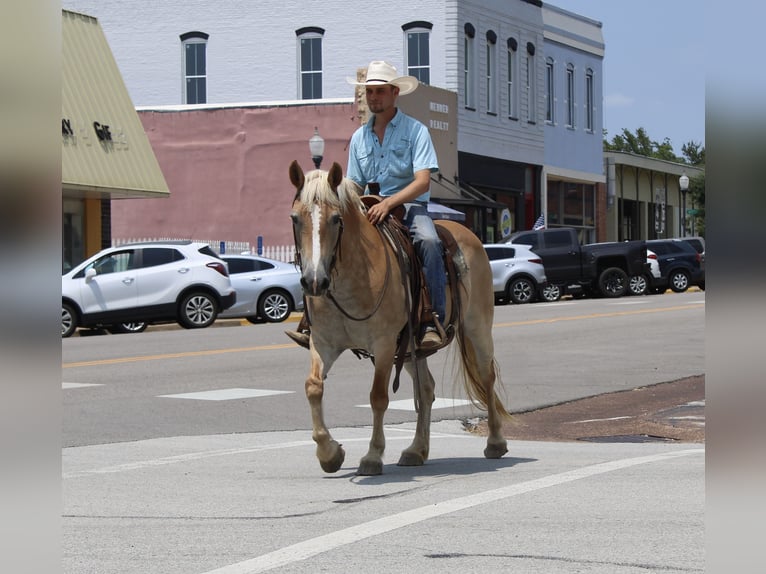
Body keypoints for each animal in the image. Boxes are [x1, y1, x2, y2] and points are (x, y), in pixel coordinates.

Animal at [288, 161, 510, 476]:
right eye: (295, 218)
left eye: (335, 219)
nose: (314, 281)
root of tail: (468, 234)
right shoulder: (323, 343)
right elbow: (313, 387)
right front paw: (330, 453)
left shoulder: (383, 345)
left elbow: (378, 397)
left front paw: (372, 456)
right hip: (411, 348)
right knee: (427, 390)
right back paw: (417, 450)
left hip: (477, 328)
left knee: (486, 376)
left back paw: (495, 443)